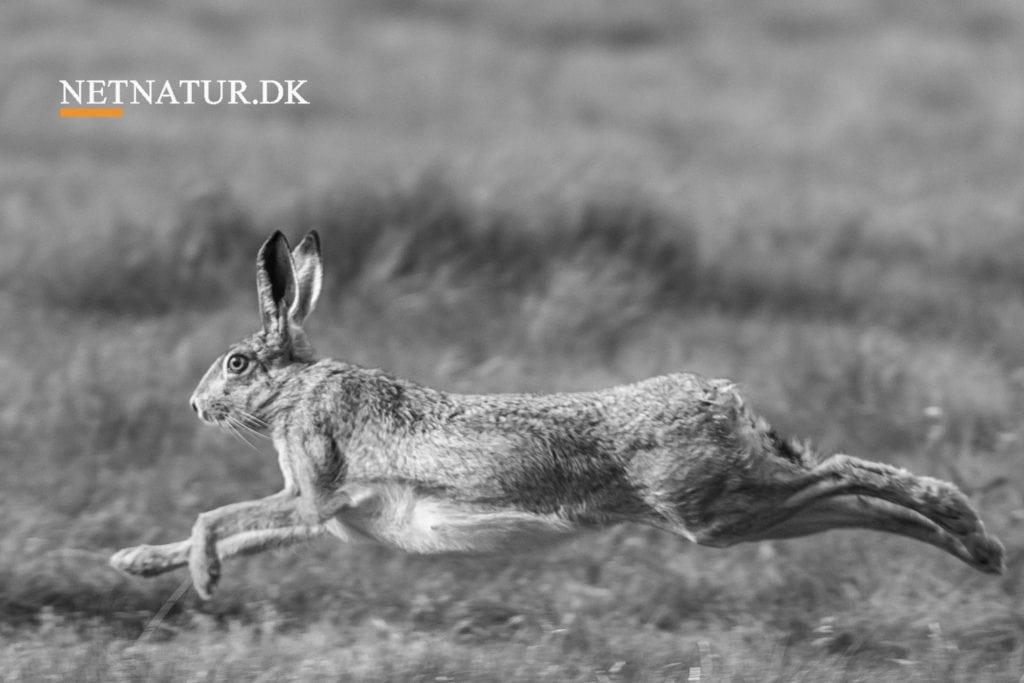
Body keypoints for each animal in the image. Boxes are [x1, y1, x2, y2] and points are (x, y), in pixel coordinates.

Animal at [110, 230, 1005, 599]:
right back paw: (978, 551)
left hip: (710, 504)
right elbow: (241, 529)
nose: (196, 404)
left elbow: (217, 517)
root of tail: (724, 398)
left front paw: (202, 577)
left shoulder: (312, 491)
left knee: (844, 472)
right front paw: (136, 562)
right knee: (848, 497)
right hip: (732, 513)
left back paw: (972, 525)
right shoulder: (319, 514)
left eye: (237, 362)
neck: (298, 388)